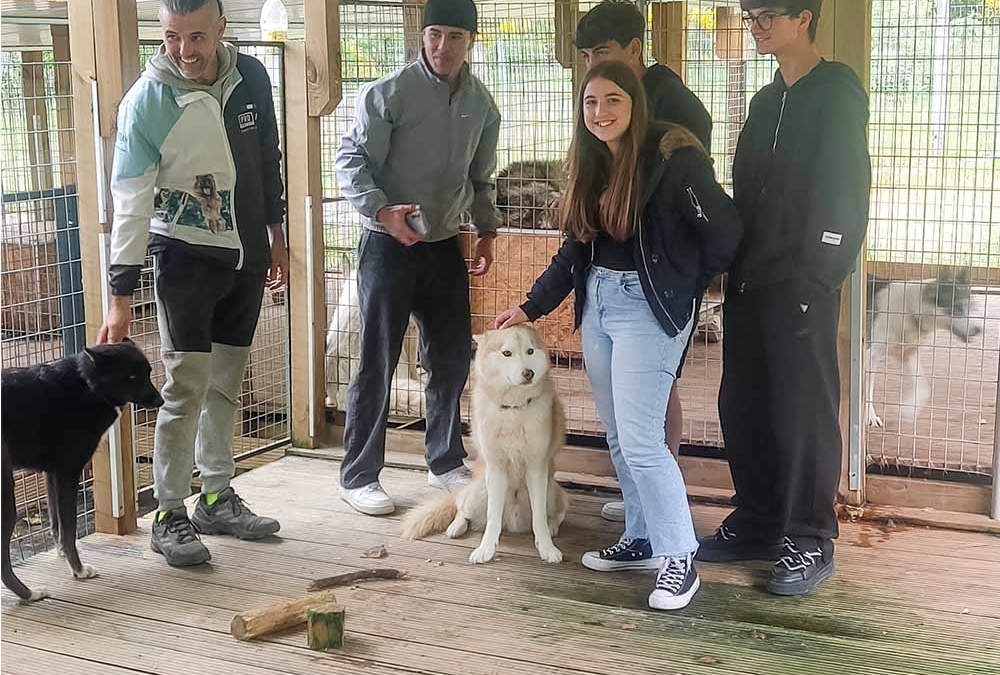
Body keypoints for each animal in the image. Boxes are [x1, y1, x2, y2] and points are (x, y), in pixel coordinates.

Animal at [1, 340, 161, 604]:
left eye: (147, 373)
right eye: (131, 376)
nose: (161, 401)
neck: (88, 385)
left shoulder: (52, 475)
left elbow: (57, 526)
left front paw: (61, 555)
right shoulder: (69, 473)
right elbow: (69, 531)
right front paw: (78, 570)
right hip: (7, 499)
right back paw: (31, 594)